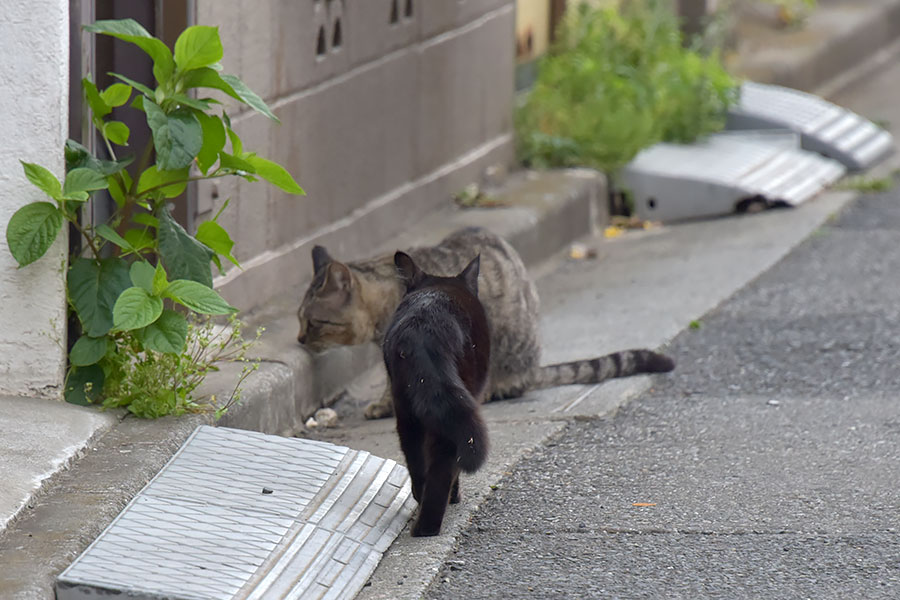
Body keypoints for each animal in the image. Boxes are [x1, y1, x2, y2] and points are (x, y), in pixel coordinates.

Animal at [382, 251, 492, 536]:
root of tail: (425, 331)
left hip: (408, 410)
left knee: (417, 461)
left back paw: (420, 508)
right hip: (454, 405)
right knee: (444, 461)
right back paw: (429, 524)